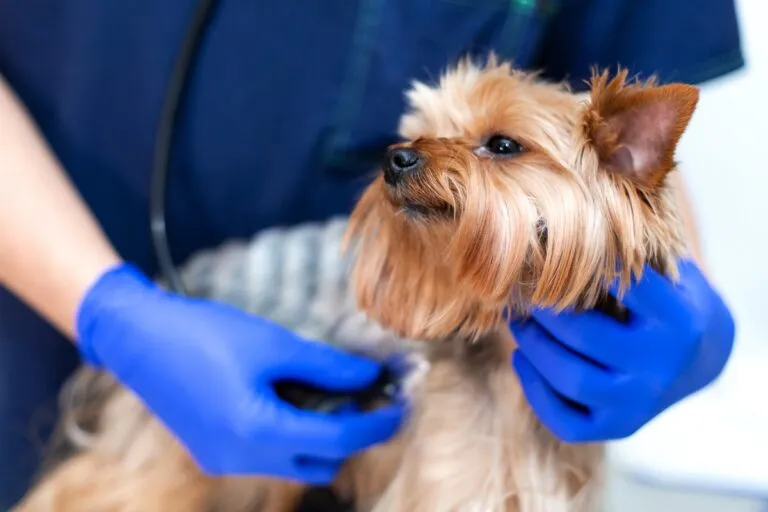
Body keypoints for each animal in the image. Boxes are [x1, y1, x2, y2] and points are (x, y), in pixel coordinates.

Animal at [13, 57, 696, 512]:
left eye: (503, 145)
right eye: (421, 127)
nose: (397, 157)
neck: (507, 344)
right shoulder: (449, 470)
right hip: (178, 432)